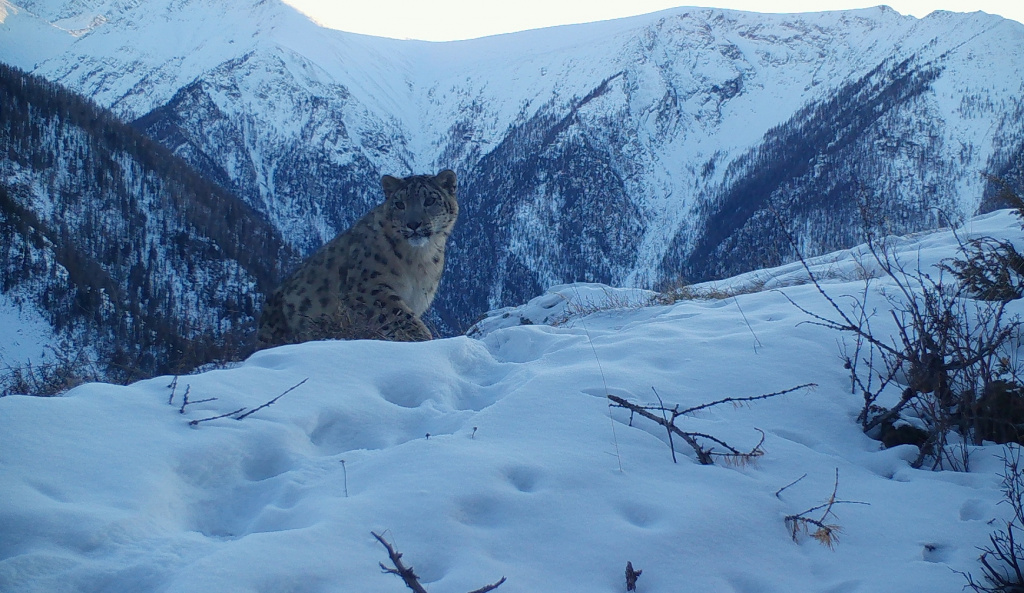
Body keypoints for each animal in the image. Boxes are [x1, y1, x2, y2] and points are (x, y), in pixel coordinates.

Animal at [256, 168, 460, 348]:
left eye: (430, 200)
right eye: (400, 204)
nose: (413, 224)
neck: (419, 260)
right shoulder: (368, 288)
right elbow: (398, 314)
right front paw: (423, 338)